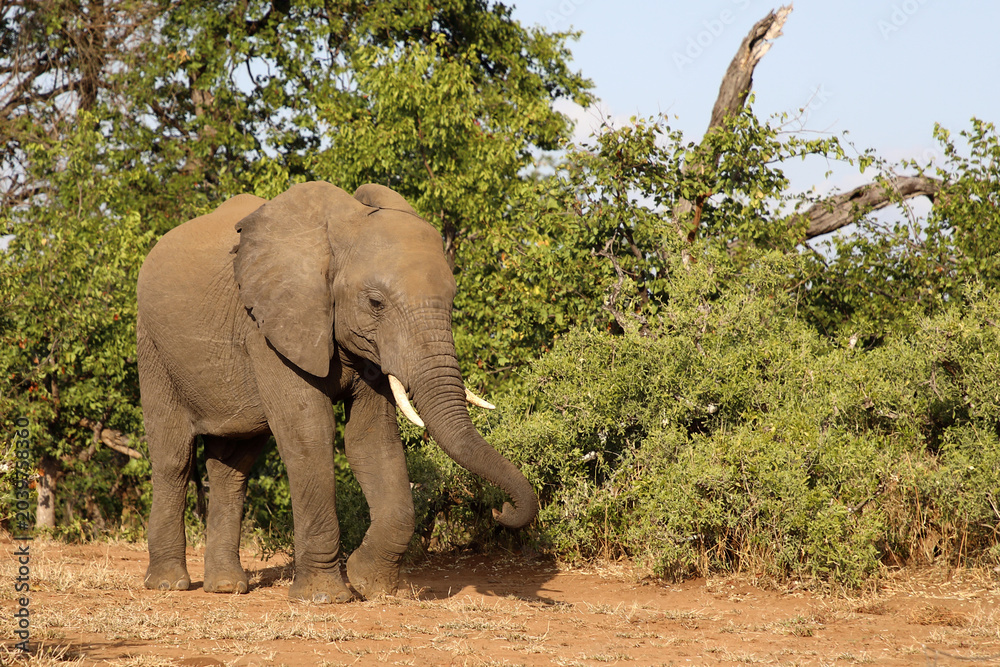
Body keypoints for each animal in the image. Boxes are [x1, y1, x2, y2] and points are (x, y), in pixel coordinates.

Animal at [136, 181, 538, 602]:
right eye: (376, 303)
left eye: (452, 301)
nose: (500, 510)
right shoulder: (270, 327)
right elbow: (310, 432)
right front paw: (323, 597)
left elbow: (371, 439)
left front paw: (371, 585)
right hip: (153, 345)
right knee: (174, 457)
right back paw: (168, 584)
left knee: (234, 464)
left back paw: (227, 588)